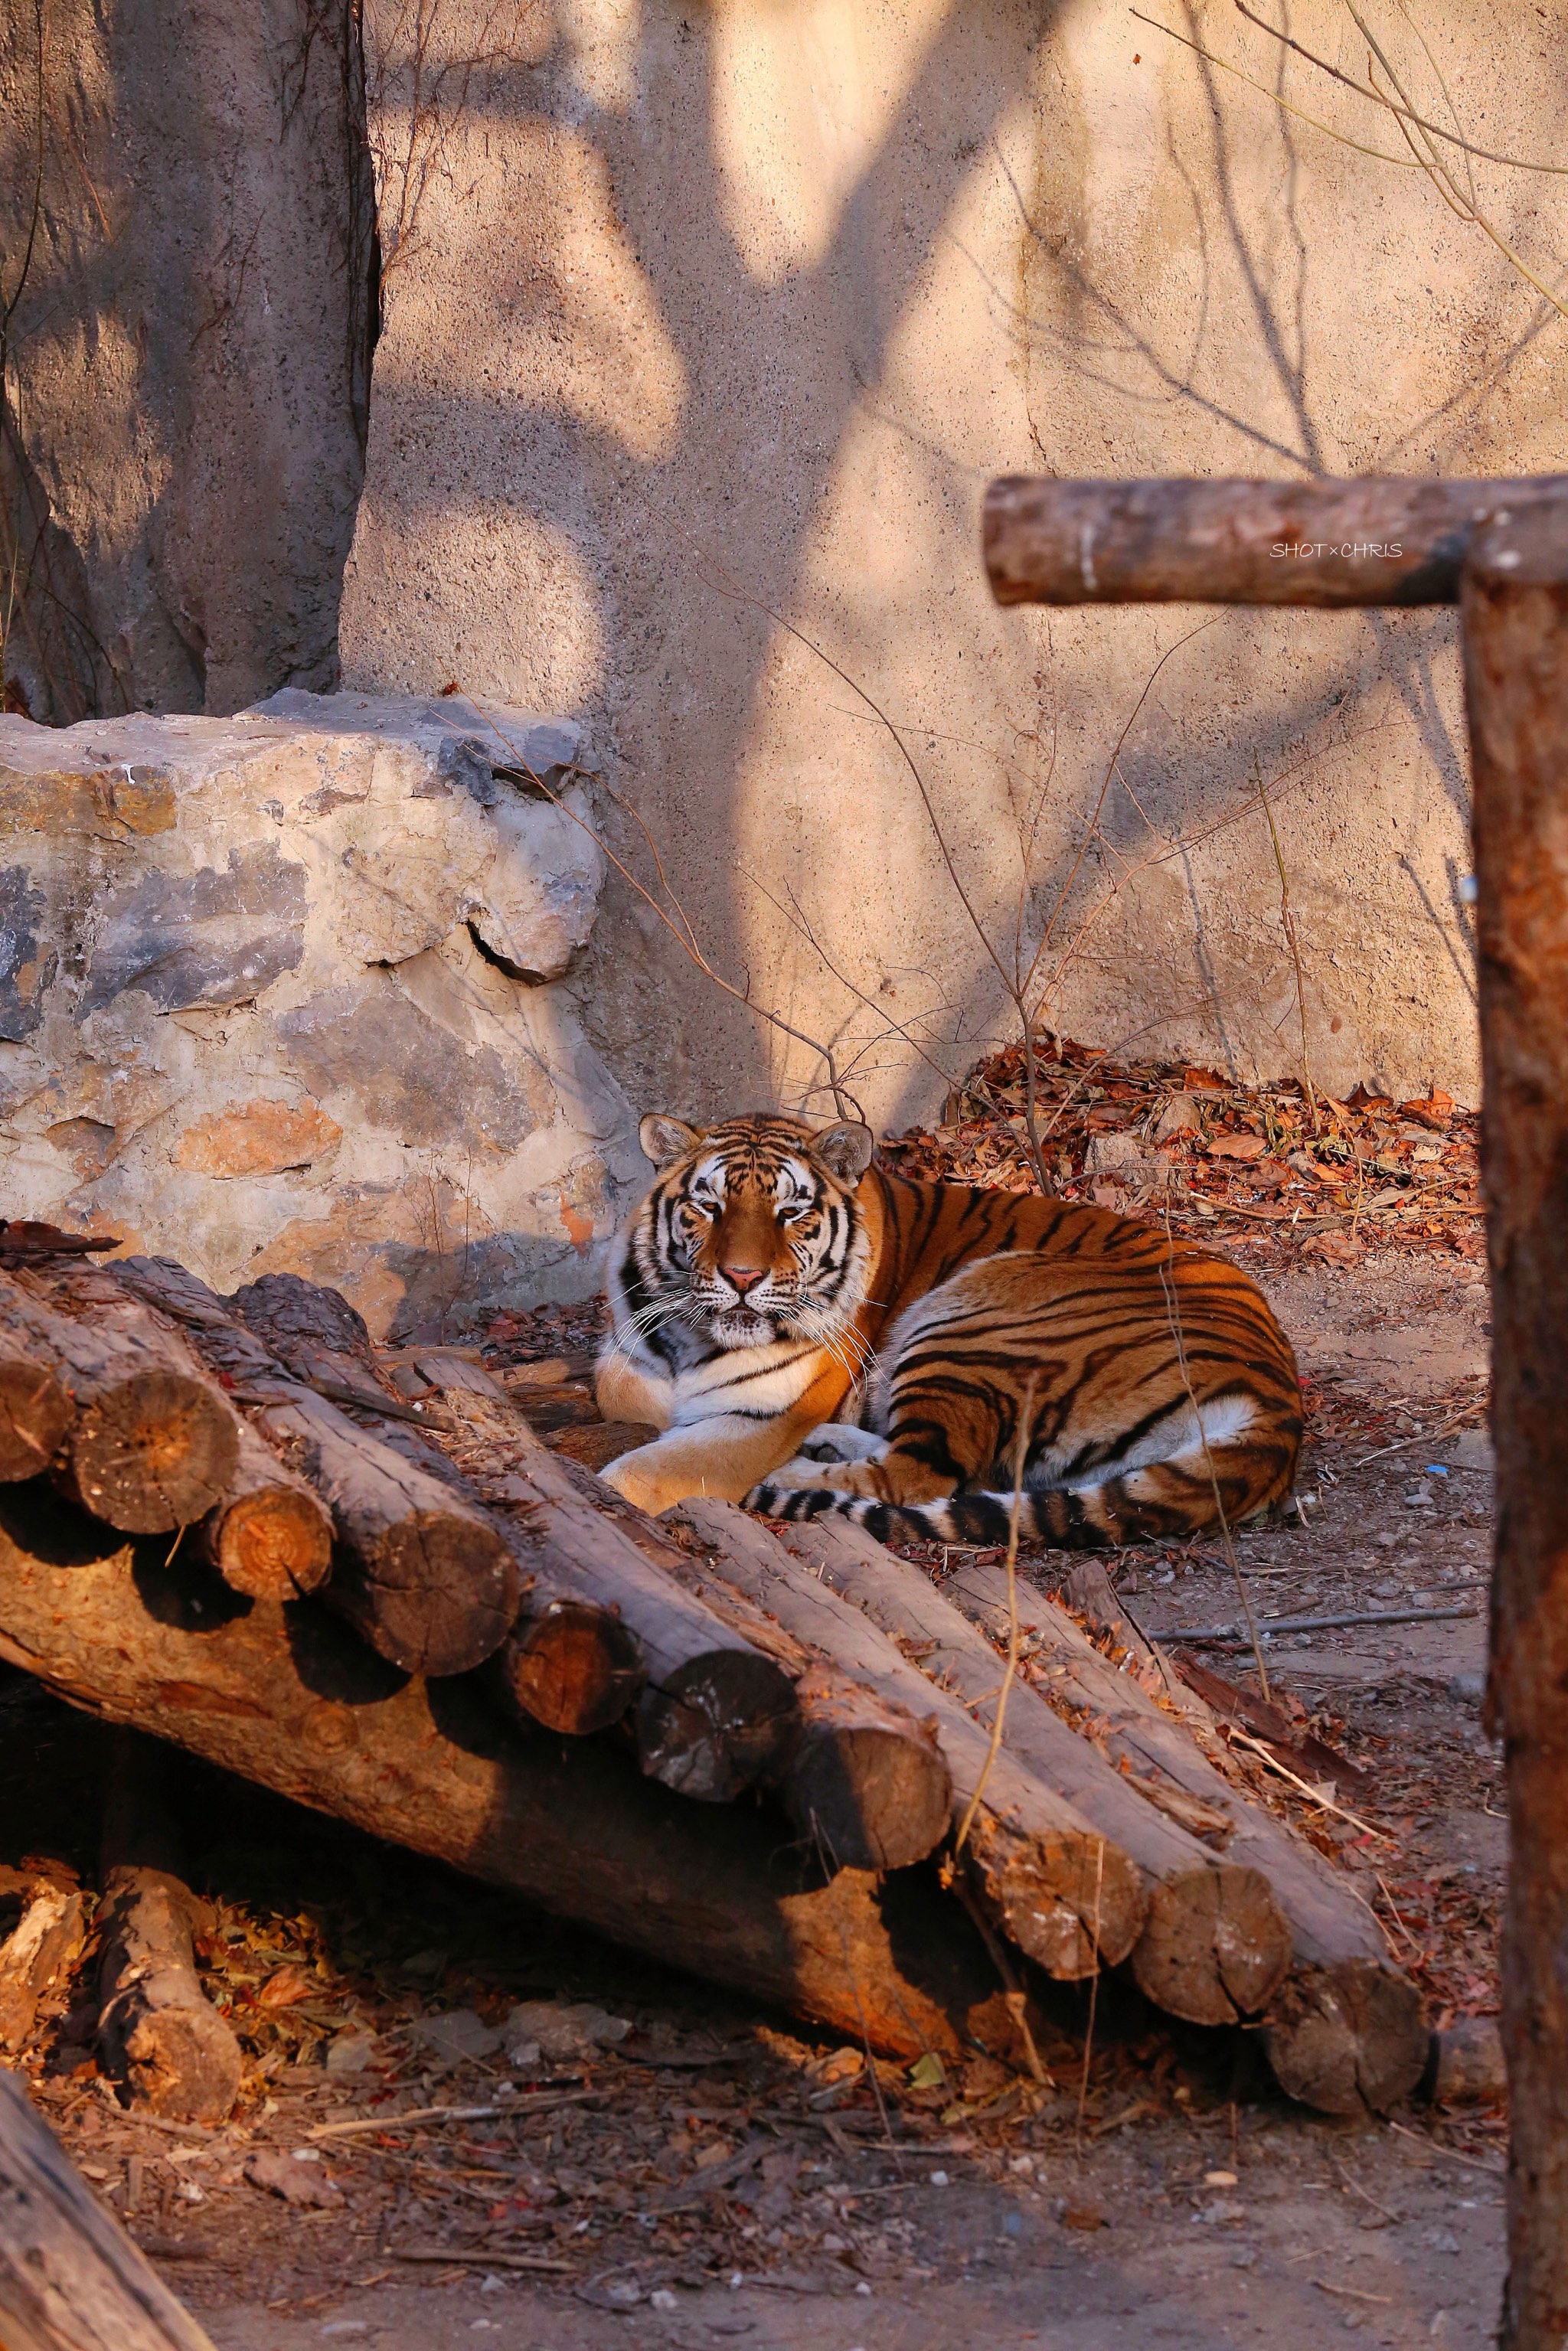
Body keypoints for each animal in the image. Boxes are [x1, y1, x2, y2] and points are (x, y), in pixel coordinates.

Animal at [594, 1114, 1307, 1551]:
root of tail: (1279, 1399)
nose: (741, 1276)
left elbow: (650, 1468)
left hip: (974, 1318)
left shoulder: (761, 1413)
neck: (692, 1335)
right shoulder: (627, 1360)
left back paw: (791, 1469)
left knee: (915, 1475)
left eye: (791, 1212)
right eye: (708, 1206)